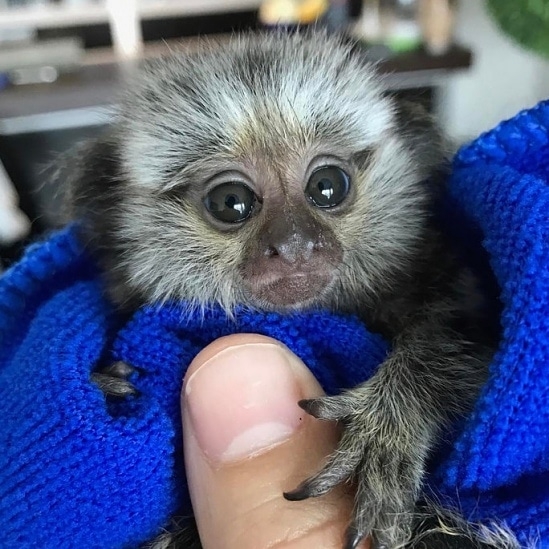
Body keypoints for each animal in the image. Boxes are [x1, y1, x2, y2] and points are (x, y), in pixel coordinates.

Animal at [67, 32, 510, 548]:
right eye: (231, 202)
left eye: (327, 186)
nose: (295, 244)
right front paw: (107, 383)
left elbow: (459, 333)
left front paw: (391, 421)